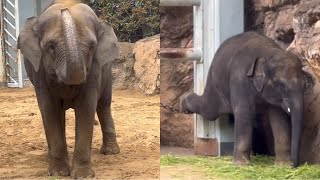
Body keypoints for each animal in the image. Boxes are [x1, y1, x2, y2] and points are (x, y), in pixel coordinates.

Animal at [17, 0, 120, 178]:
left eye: (92, 46)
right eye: (50, 46)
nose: (64, 8)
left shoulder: (95, 68)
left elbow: (87, 106)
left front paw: (83, 175)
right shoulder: (40, 71)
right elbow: (49, 108)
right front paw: (58, 173)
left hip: (107, 69)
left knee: (104, 104)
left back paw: (111, 152)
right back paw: (50, 158)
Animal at [181, 31, 314, 167]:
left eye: (305, 86)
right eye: (281, 86)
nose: (295, 164)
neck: (269, 52)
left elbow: (279, 117)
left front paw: (283, 165)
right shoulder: (239, 78)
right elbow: (244, 112)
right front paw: (241, 165)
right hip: (215, 81)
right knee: (209, 110)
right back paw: (183, 100)